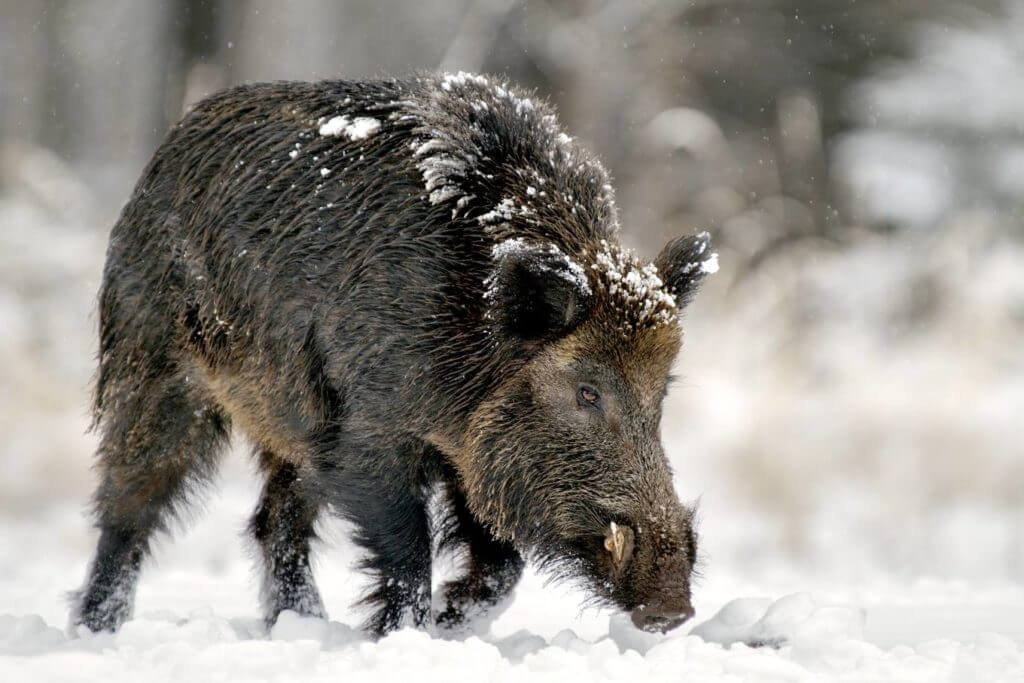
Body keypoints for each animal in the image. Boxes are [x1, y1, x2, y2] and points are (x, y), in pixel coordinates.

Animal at [71, 71, 718, 638]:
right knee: (129, 505)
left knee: (272, 520)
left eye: (660, 395)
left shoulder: (464, 458)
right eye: (587, 390)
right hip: (155, 369)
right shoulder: (370, 437)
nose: (671, 608)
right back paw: (97, 629)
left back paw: (304, 625)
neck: (469, 322)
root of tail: (166, 151)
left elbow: (502, 567)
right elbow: (410, 553)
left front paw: (451, 619)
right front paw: (411, 630)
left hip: (297, 427)